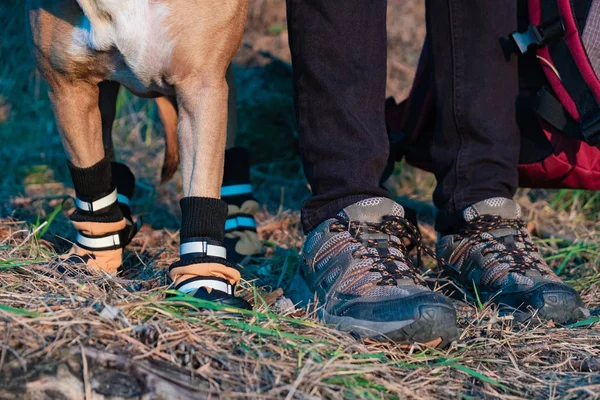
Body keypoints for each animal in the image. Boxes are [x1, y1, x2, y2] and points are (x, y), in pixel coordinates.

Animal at [27, 0, 253, 308]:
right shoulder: (69, 88)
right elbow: (91, 176)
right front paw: (94, 257)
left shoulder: (201, 85)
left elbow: (201, 185)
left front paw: (204, 279)